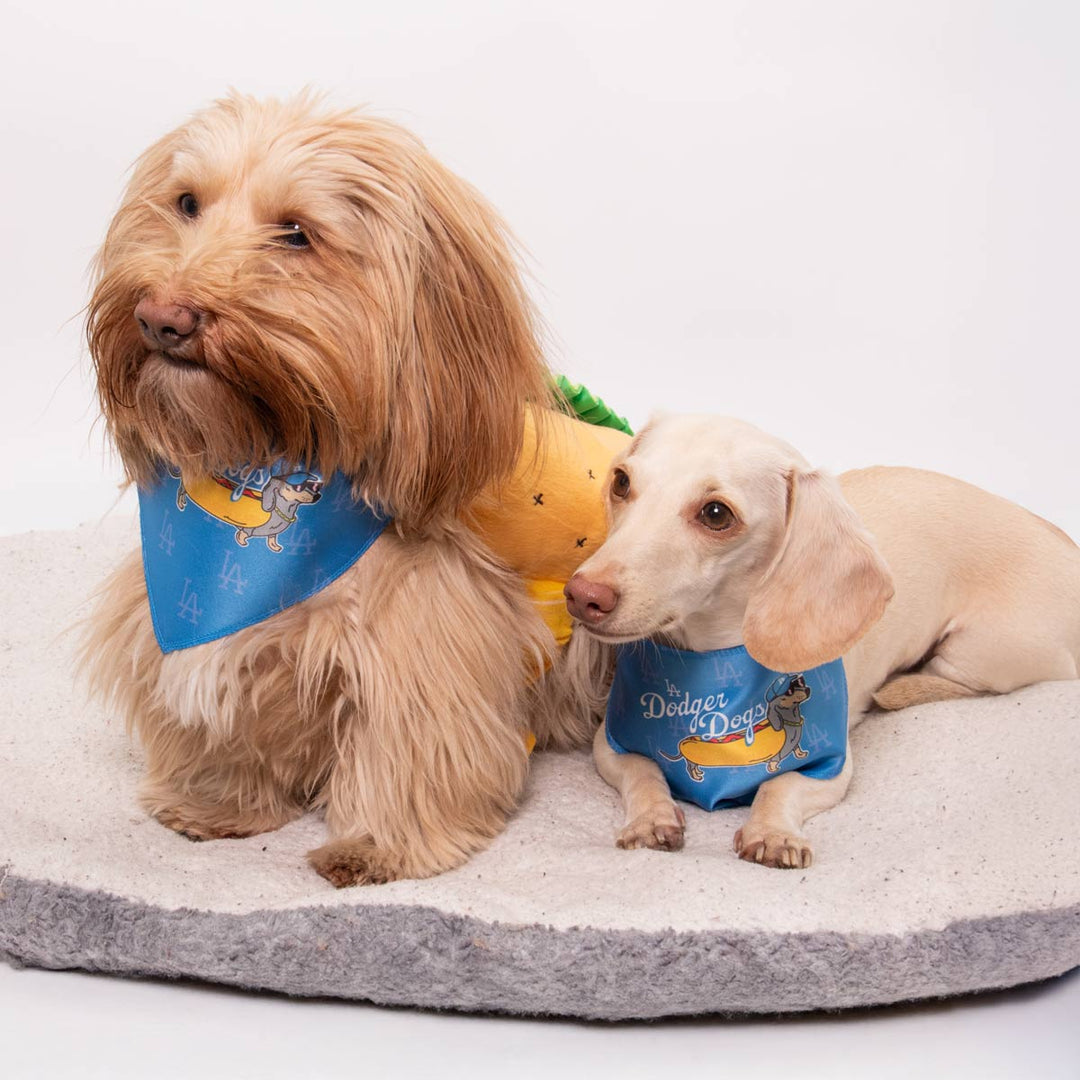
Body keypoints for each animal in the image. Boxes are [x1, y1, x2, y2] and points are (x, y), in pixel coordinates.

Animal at [85, 95, 604, 885]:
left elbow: (409, 748)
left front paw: (377, 845)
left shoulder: (422, 642)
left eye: (297, 232)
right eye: (186, 204)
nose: (161, 317)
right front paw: (216, 802)